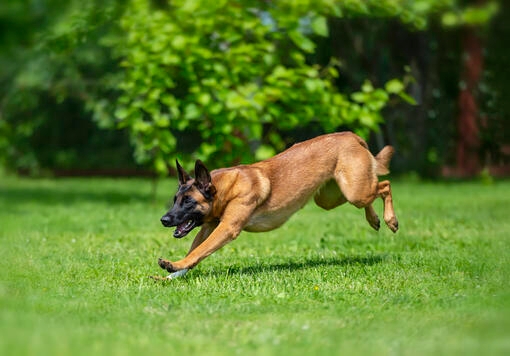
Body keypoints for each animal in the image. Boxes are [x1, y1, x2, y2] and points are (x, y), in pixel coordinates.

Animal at [157, 132, 396, 280]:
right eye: (175, 200)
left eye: (189, 201)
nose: (164, 220)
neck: (225, 189)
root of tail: (351, 135)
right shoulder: (207, 227)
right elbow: (195, 251)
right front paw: (171, 275)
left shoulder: (226, 228)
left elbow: (198, 252)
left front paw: (173, 265)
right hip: (331, 198)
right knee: (374, 189)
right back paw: (374, 219)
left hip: (354, 192)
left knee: (384, 185)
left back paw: (390, 220)